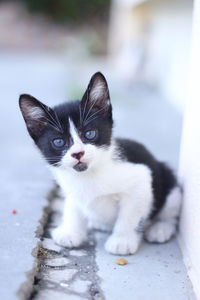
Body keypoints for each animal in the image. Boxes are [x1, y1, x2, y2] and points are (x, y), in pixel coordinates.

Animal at [19, 71, 181, 254]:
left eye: (90, 134)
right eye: (59, 142)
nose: (78, 153)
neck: (89, 175)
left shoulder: (142, 180)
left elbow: (130, 215)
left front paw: (122, 240)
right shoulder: (71, 189)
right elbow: (72, 207)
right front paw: (70, 231)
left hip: (169, 181)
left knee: (170, 211)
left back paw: (160, 228)